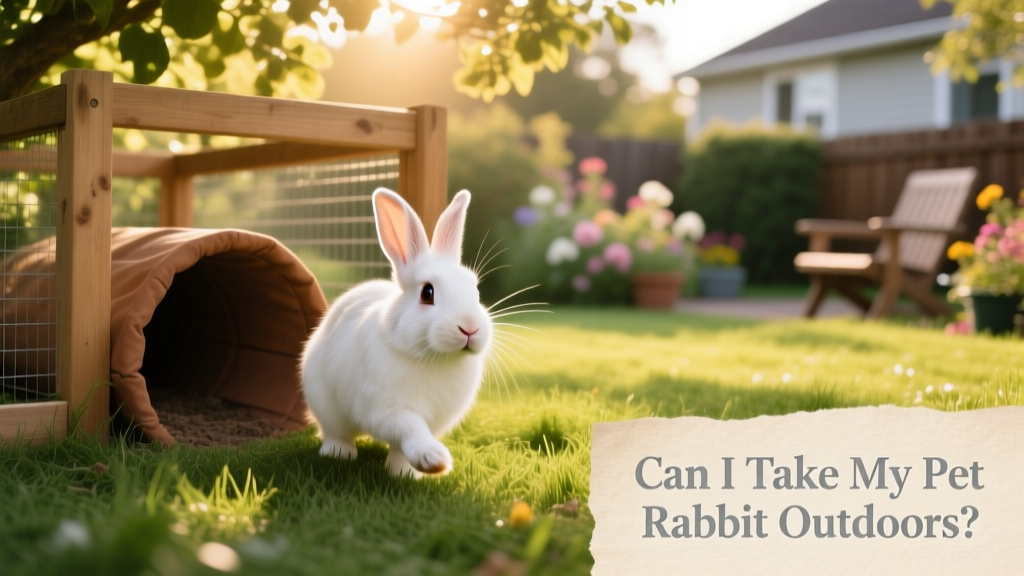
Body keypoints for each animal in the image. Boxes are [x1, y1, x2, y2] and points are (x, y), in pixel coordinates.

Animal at [300, 187, 492, 478]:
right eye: (427, 292)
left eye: (476, 291)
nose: (469, 327)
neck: (432, 358)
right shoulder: (386, 410)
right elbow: (410, 427)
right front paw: (434, 459)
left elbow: (402, 447)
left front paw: (407, 473)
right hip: (324, 403)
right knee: (336, 432)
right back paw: (339, 454)